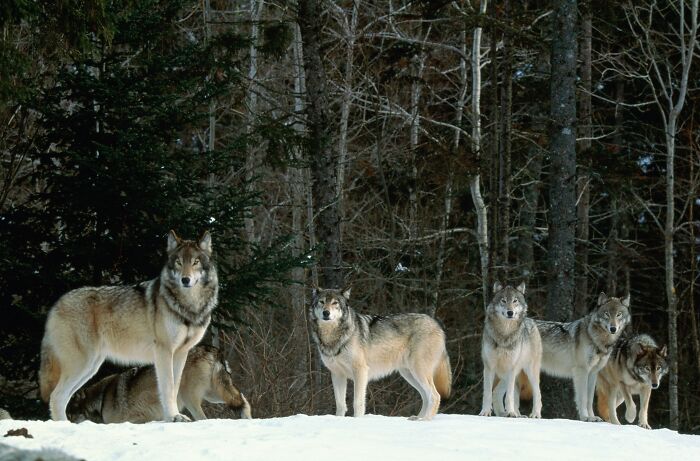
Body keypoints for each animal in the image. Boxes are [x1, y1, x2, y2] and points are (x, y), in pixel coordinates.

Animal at [39, 230, 218, 422]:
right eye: (178, 262)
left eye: (195, 262)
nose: (185, 279)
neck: (188, 307)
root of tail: (56, 305)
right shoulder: (164, 351)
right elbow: (168, 388)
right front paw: (173, 417)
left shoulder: (180, 353)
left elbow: (175, 387)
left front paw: (173, 416)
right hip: (81, 365)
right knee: (56, 397)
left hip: (91, 367)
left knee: (63, 397)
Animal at [67, 345, 251, 423]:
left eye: (70, 415)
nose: (67, 422)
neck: (101, 399)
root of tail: (213, 350)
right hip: (214, 395)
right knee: (243, 400)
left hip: (190, 398)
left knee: (203, 418)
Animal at [309, 287, 452, 420]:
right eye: (322, 302)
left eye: (335, 303)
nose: (326, 313)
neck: (332, 337)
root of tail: (437, 325)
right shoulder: (337, 374)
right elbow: (340, 404)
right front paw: (338, 420)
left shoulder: (360, 371)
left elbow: (358, 402)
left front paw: (357, 420)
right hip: (409, 374)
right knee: (425, 396)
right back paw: (417, 418)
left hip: (418, 371)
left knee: (435, 395)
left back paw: (425, 420)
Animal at [479, 282, 542, 418]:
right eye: (503, 300)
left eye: (515, 301)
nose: (510, 312)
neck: (504, 334)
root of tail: (532, 321)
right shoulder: (489, 367)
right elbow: (487, 393)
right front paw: (485, 412)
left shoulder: (511, 368)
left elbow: (509, 396)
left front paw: (511, 412)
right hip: (505, 375)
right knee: (497, 393)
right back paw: (507, 414)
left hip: (529, 372)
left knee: (537, 393)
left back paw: (534, 414)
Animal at [520, 292, 631, 422]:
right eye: (606, 314)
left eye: (619, 314)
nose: (613, 328)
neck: (596, 339)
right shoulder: (581, 371)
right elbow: (582, 398)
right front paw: (585, 417)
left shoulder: (593, 373)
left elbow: (589, 399)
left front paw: (592, 417)